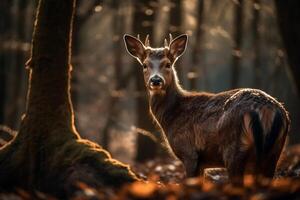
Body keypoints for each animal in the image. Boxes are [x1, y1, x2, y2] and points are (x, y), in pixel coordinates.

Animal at [123, 33, 290, 184]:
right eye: (145, 65)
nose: (156, 80)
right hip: (276, 149)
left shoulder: (189, 152)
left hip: (234, 147)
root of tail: (267, 110)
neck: (172, 115)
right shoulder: (202, 163)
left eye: (168, 64)